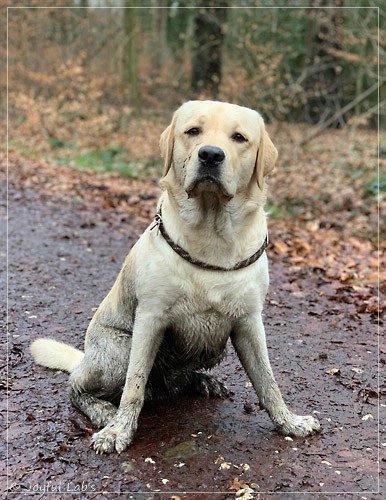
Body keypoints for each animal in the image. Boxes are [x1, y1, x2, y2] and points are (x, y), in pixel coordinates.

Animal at [29, 100, 320, 454]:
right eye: (192, 131)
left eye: (239, 137)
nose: (210, 155)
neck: (212, 232)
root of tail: (85, 358)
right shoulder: (150, 320)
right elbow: (134, 387)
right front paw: (118, 431)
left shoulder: (249, 324)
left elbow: (268, 381)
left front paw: (289, 422)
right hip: (118, 350)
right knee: (79, 387)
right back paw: (102, 409)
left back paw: (201, 381)